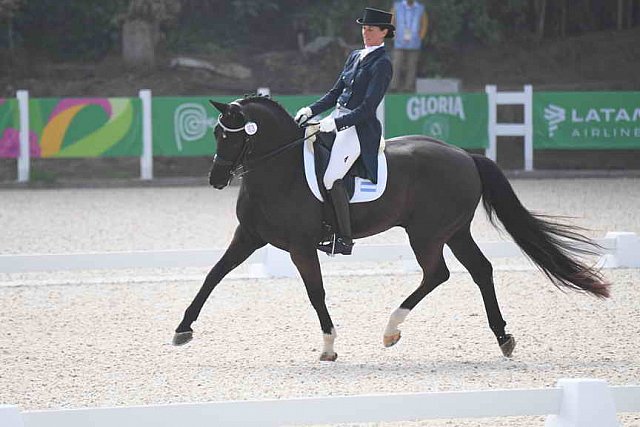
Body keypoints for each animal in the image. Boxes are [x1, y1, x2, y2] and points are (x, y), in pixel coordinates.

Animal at [171, 96, 608, 362]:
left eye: (231, 135)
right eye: (215, 133)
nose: (216, 179)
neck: (281, 169)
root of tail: (466, 156)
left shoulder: (300, 246)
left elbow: (315, 292)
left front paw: (329, 345)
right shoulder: (249, 237)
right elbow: (213, 275)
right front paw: (182, 329)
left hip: (427, 234)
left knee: (438, 273)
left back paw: (391, 329)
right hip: (454, 231)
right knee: (480, 270)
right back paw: (503, 337)